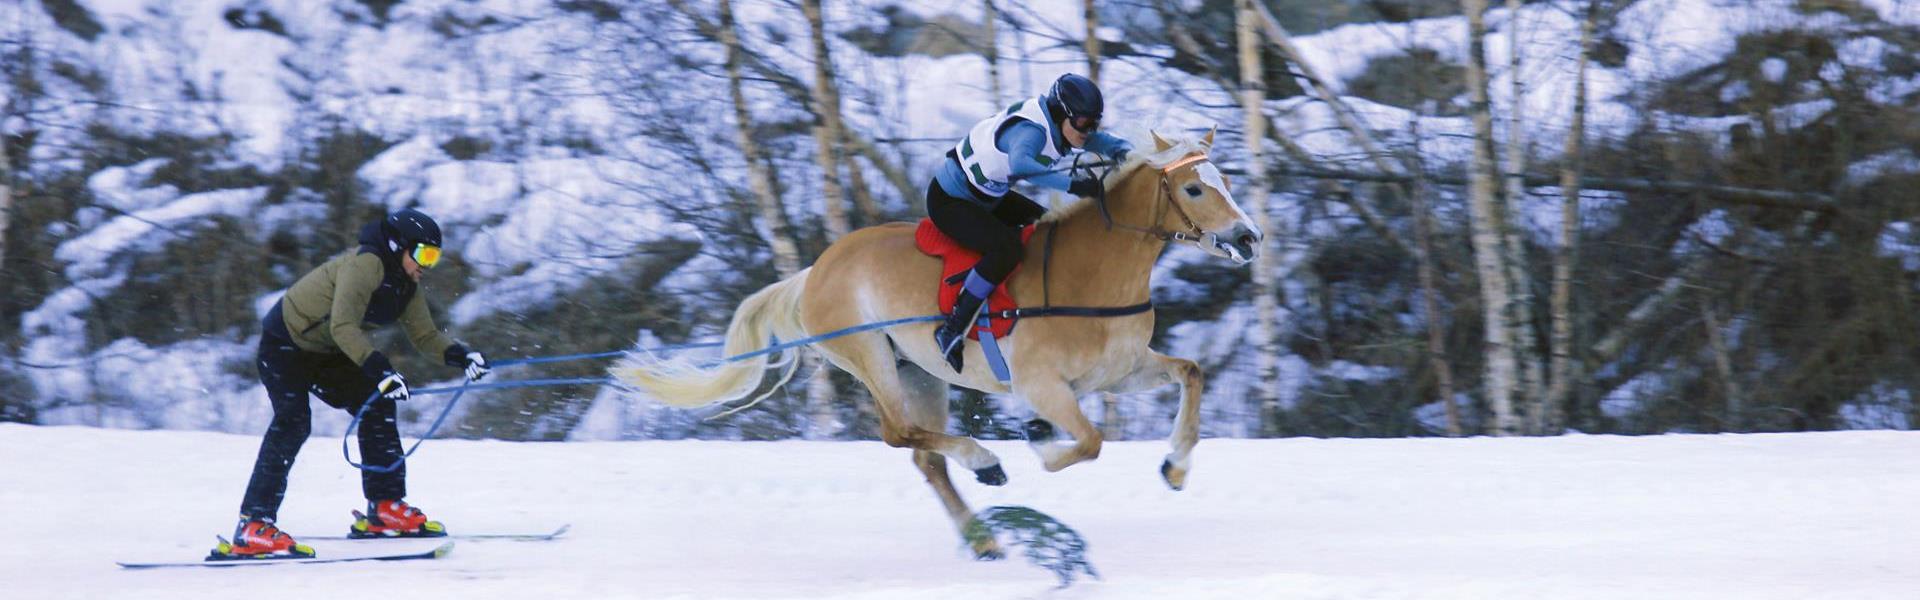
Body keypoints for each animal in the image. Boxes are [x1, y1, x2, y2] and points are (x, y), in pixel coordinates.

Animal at [622, 129, 1267, 557]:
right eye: (1194, 188)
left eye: (1227, 181)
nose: (1249, 238)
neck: (1093, 276)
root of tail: (815, 271)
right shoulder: (1043, 385)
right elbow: (1088, 441)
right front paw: (1038, 442)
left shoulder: (1122, 369)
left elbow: (1190, 373)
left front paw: (1176, 466)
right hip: (873, 360)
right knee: (899, 433)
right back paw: (986, 464)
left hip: (922, 373)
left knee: (925, 456)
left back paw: (982, 538)